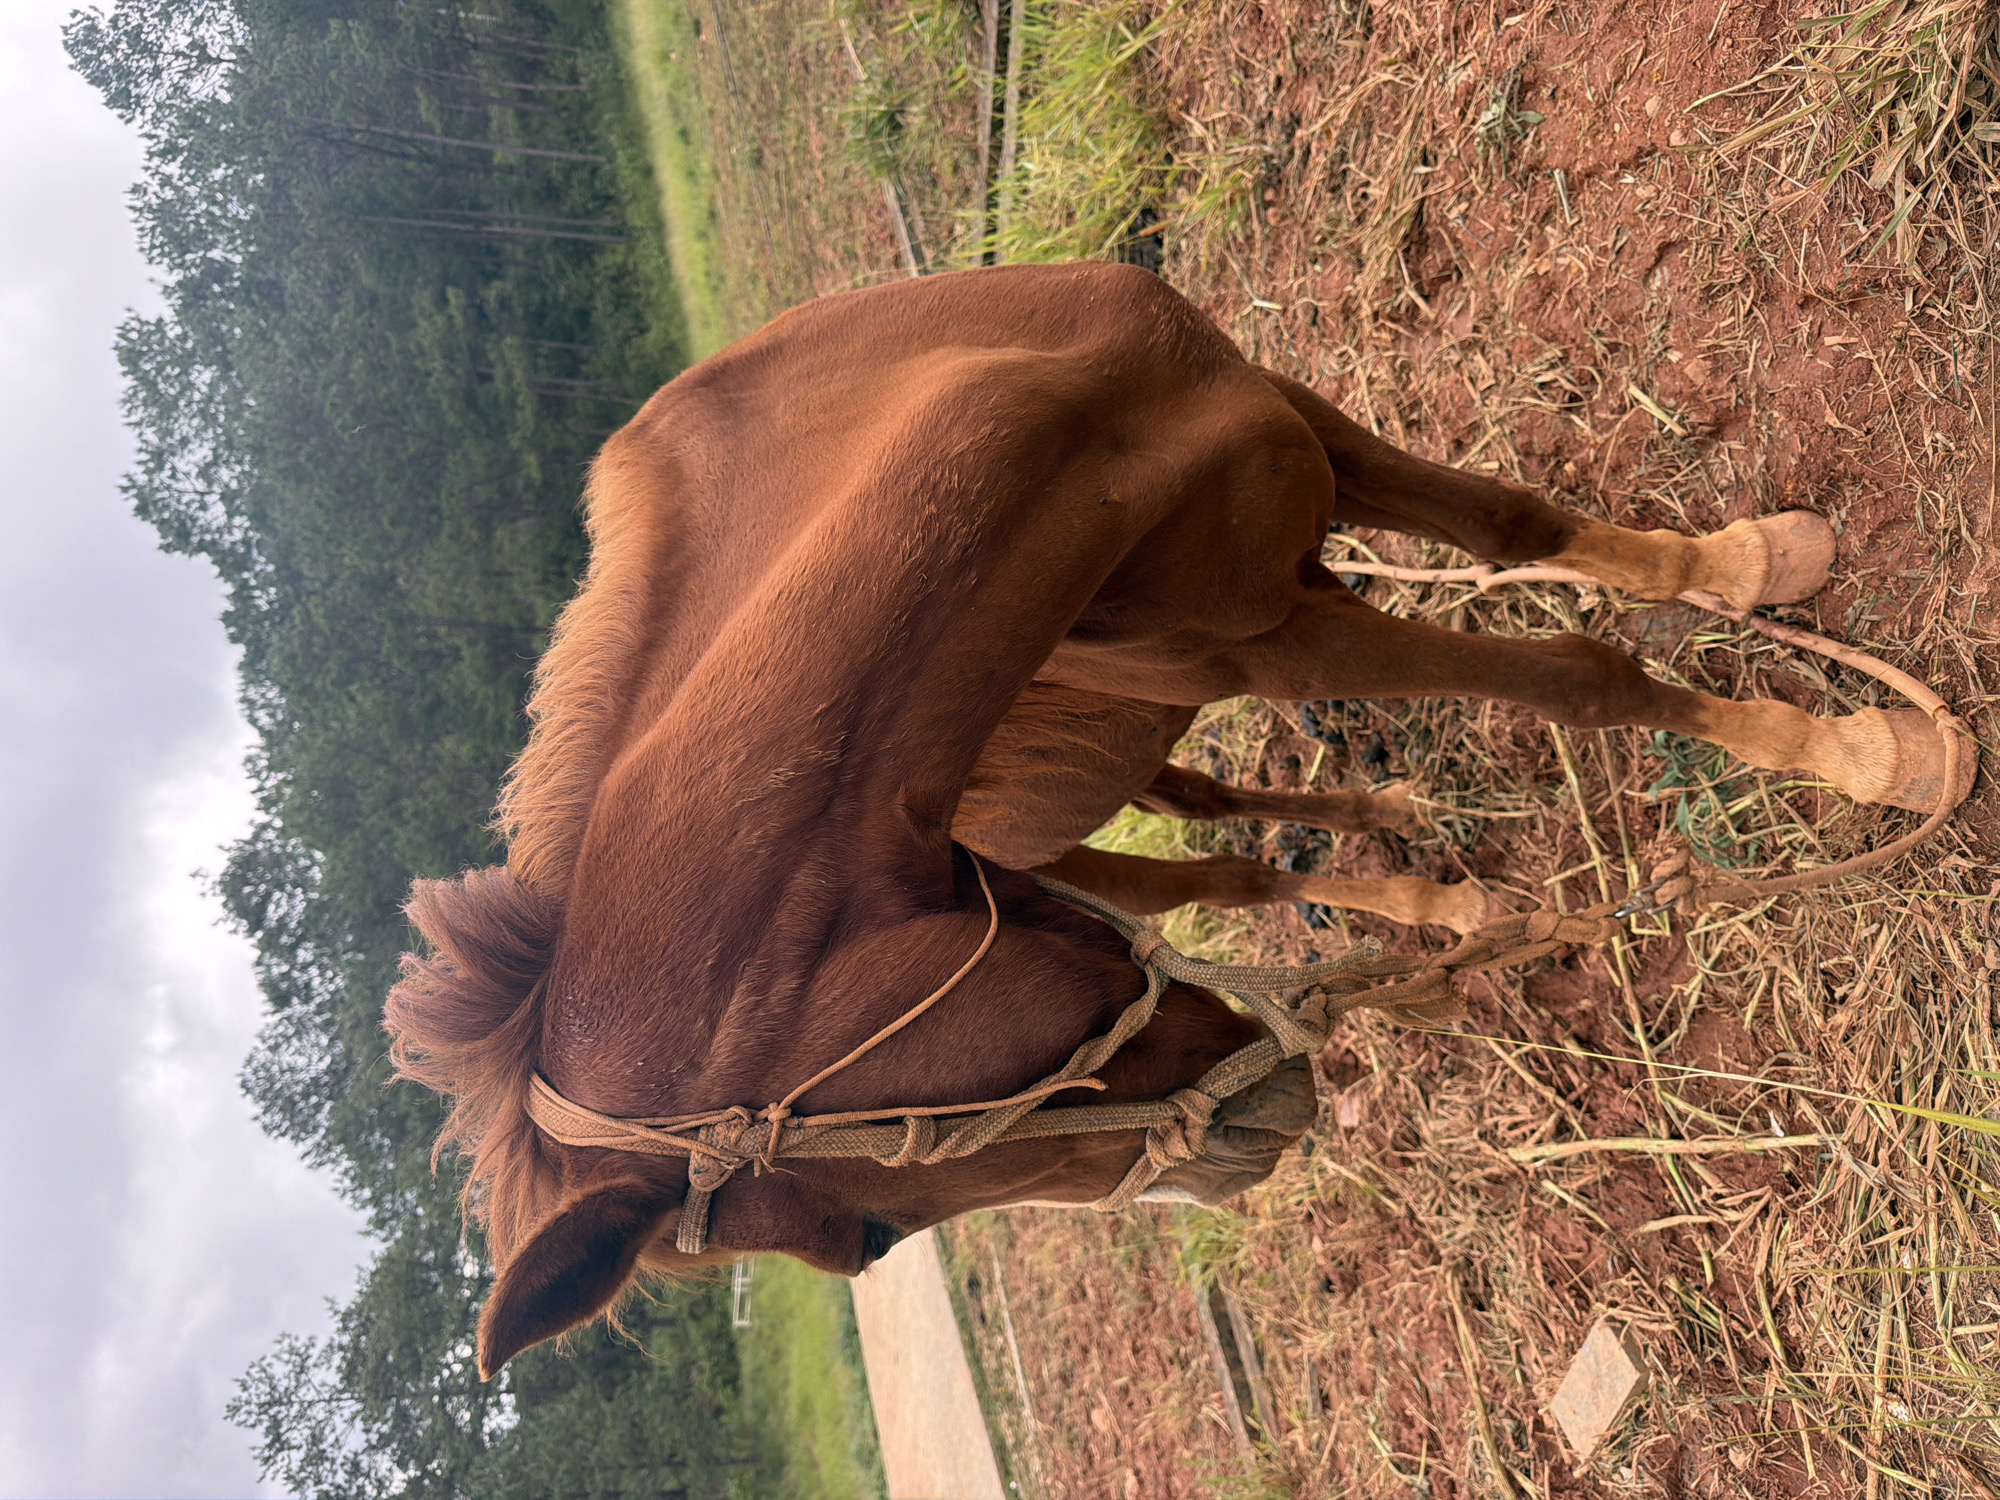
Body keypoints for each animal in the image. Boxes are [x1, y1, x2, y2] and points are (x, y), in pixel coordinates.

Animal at [385, 261, 1953, 1378]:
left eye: (866, 1235)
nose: (1231, 1166)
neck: (1047, 423)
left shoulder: (1286, 412)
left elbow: (1517, 529)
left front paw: (1747, 572)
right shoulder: (1276, 640)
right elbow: (1579, 681)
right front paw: (1863, 752)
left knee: (1216, 802)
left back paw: (1401, 828)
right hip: (1083, 836)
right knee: (1225, 872)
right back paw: (1430, 900)